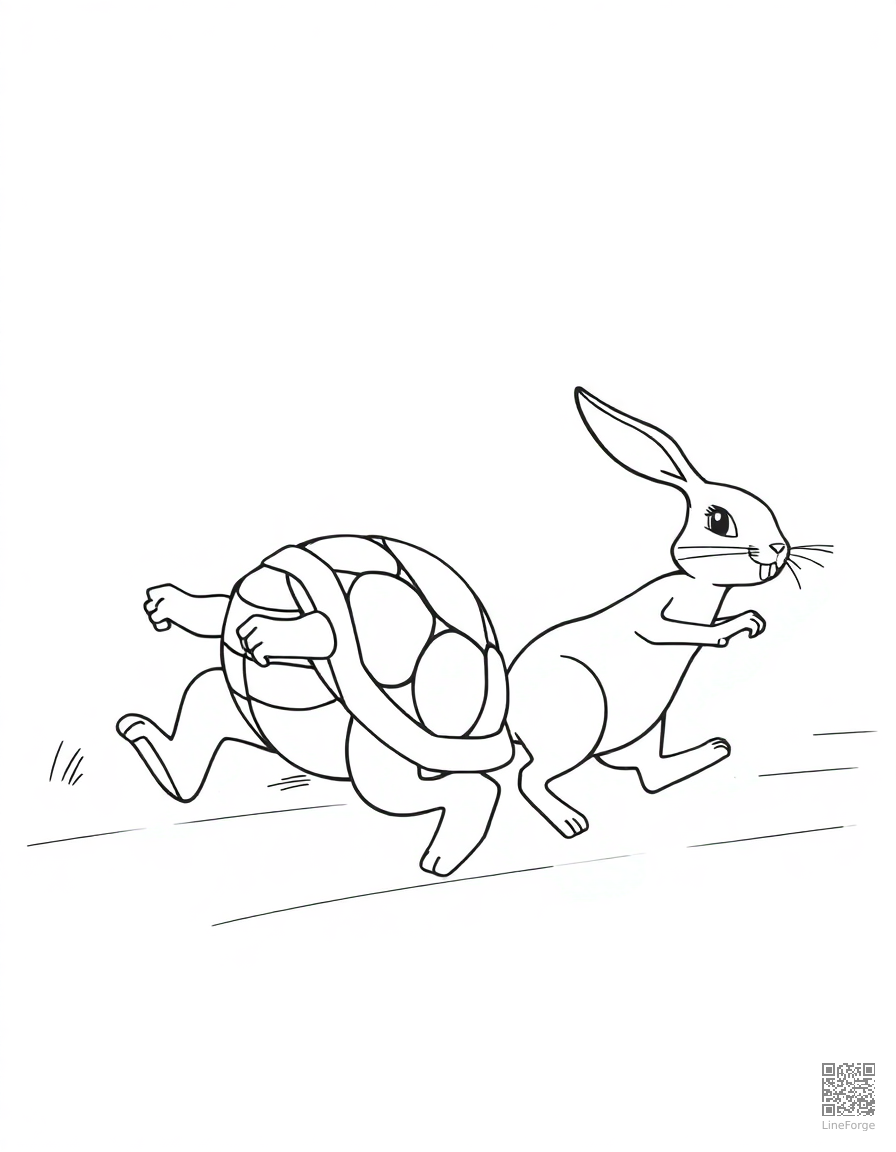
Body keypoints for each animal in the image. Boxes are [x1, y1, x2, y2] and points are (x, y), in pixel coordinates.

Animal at [508, 388, 805, 838]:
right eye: (719, 521)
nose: (778, 549)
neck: (702, 588)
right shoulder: (654, 614)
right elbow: (670, 630)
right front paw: (737, 627)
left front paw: (751, 620)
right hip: (578, 723)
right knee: (531, 777)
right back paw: (570, 821)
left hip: (644, 729)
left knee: (650, 776)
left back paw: (712, 751)